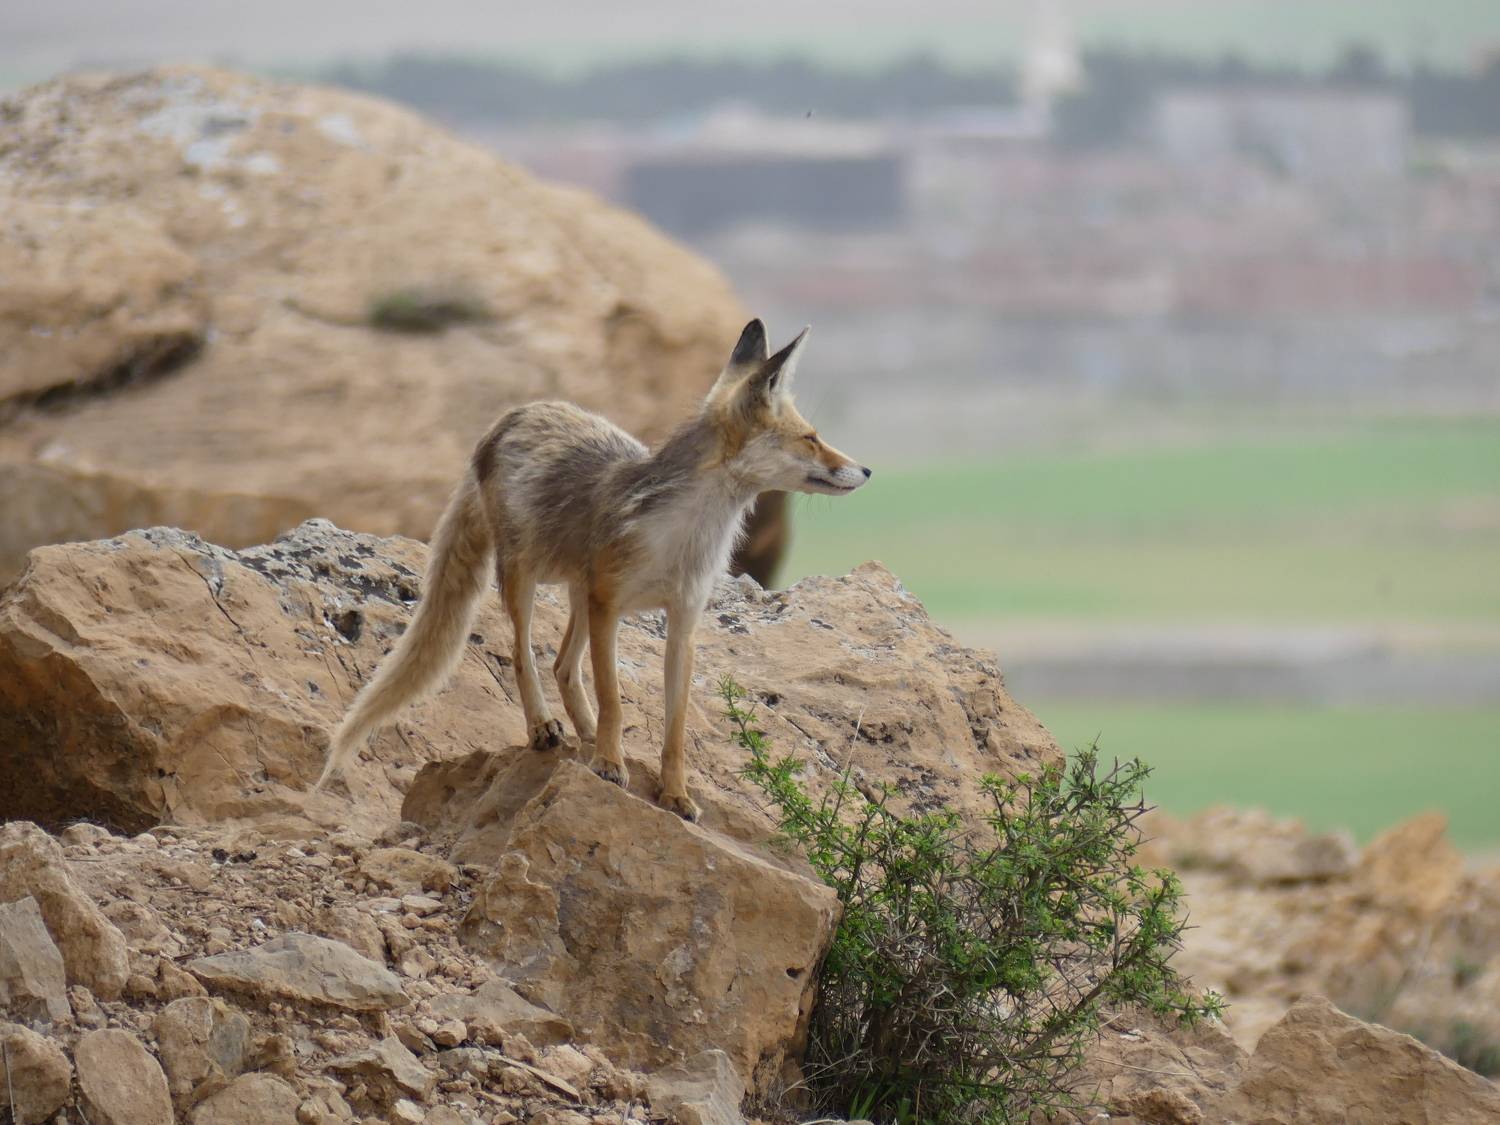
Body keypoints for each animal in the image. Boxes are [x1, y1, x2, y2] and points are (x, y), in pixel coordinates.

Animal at [313, 319, 870, 820]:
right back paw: (545, 729)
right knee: (525, 658)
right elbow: (613, 698)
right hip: (527, 578)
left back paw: (582, 732)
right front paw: (608, 764)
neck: (683, 538)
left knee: (563, 665)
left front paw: (674, 794)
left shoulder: (682, 622)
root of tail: (514, 415)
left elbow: (674, 729)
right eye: (810, 437)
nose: (866, 470)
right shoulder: (609, 604)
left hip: (579, 593)